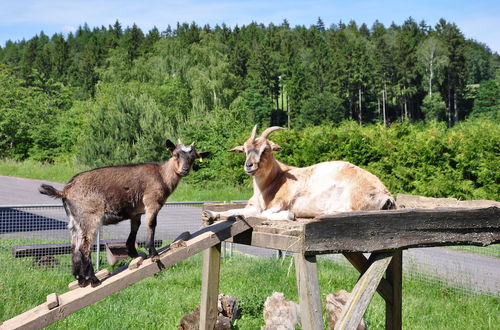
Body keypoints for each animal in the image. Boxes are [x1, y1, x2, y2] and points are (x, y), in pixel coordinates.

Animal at [39, 139, 209, 286]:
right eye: (175, 154)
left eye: (193, 158)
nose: (184, 170)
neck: (161, 175)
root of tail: (66, 191)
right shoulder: (152, 202)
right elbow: (151, 224)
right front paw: (153, 254)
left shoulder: (136, 212)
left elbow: (135, 229)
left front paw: (135, 253)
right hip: (90, 218)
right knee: (84, 247)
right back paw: (93, 279)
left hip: (75, 222)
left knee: (74, 246)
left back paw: (80, 280)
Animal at [203, 125, 394, 222]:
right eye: (244, 150)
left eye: (266, 149)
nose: (249, 166)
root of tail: (387, 195)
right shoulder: (254, 206)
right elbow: (234, 210)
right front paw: (211, 214)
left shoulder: (280, 202)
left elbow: (265, 214)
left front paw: (290, 215)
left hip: (352, 199)